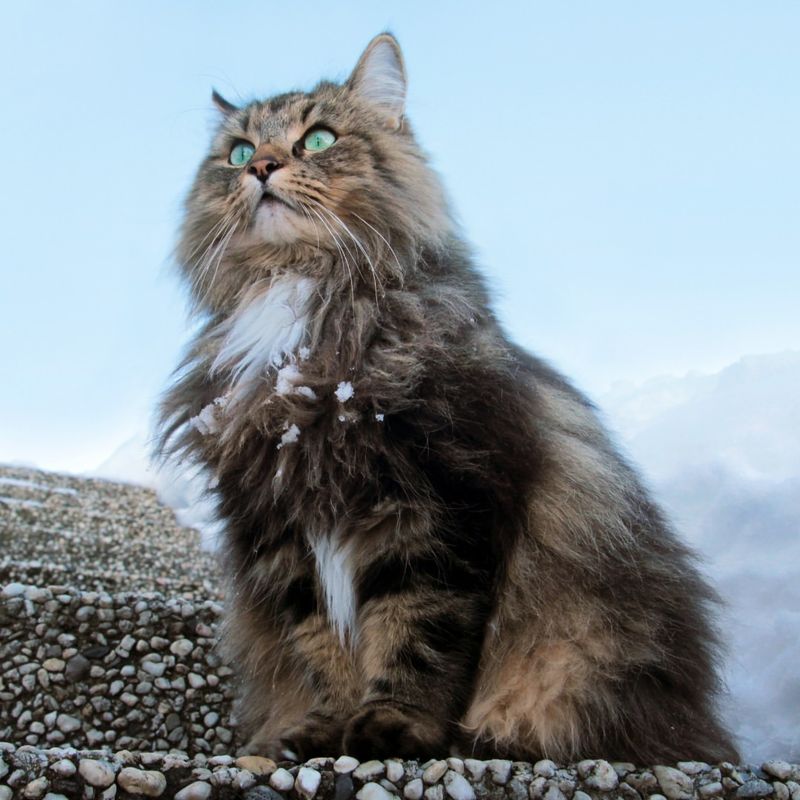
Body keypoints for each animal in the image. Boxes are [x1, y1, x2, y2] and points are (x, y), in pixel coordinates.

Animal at [159, 34, 740, 764]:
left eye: (318, 139)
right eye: (237, 152)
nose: (262, 166)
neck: (297, 300)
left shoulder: (440, 504)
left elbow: (416, 632)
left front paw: (391, 728)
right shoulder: (280, 528)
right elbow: (323, 647)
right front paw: (325, 731)